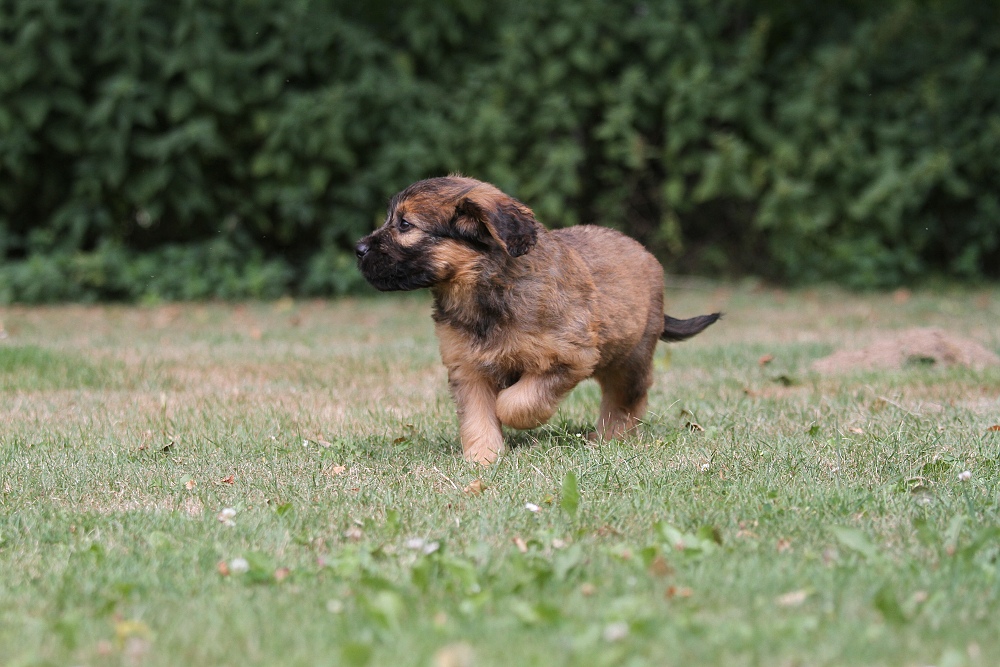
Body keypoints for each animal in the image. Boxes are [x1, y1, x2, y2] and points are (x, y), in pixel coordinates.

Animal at [356, 180, 716, 468]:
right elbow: (478, 415)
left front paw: (507, 419)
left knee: (627, 398)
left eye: (405, 224)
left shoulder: (569, 357)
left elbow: (516, 402)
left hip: (631, 356)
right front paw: (483, 457)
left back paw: (611, 436)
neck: (485, 288)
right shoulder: (468, 368)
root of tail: (645, 253)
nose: (357, 249)